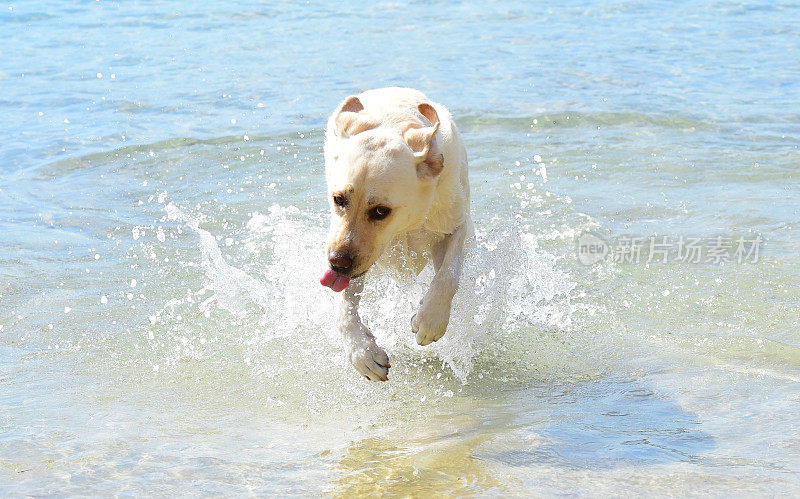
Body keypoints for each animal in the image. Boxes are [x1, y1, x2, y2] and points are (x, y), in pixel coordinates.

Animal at [318, 87, 468, 382]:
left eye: (380, 211)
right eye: (339, 199)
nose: (336, 263)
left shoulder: (459, 225)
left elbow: (448, 275)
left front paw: (430, 321)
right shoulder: (350, 257)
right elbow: (343, 307)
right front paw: (363, 354)